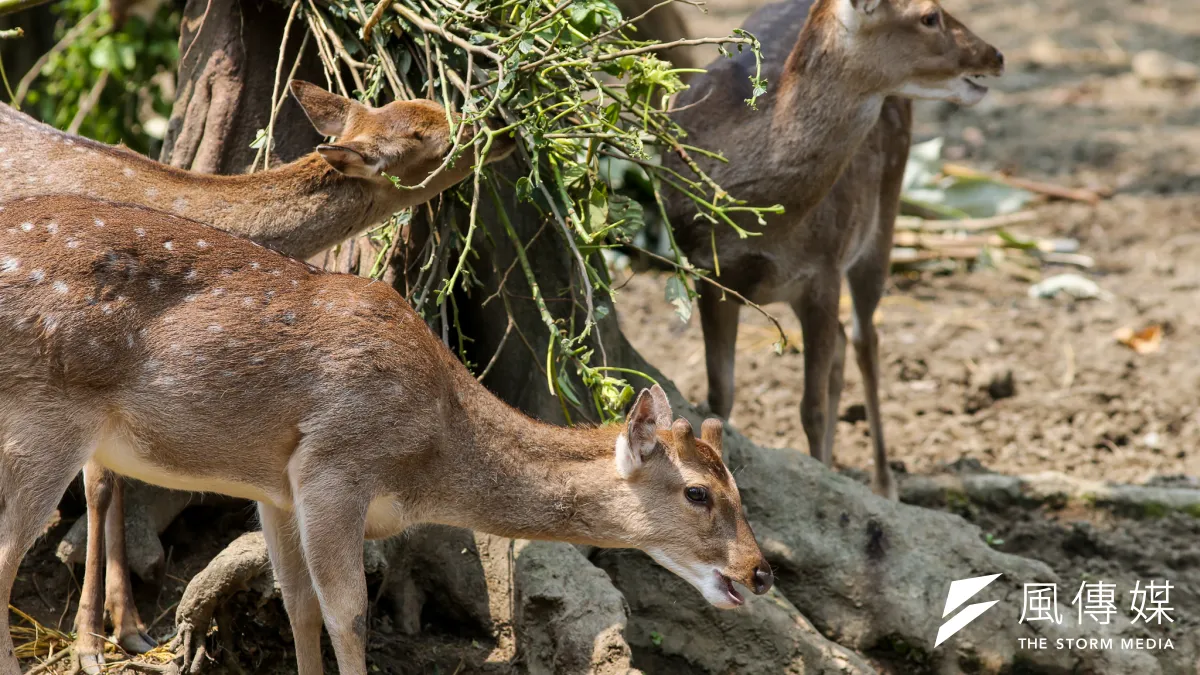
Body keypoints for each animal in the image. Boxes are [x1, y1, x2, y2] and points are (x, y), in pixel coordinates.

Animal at [0, 79, 515, 671]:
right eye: (431, 138)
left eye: (434, 107)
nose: (505, 128)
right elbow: (101, 486)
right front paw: (89, 644)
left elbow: (116, 479)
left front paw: (130, 628)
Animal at [0, 193, 773, 675]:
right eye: (698, 492)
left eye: (737, 485)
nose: (760, 571)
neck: (426, 464)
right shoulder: (334, 464)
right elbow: (348, 612)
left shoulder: (275, 488)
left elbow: (298, 605)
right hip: (47, 415)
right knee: (6, 551)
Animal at [664, 0, 1004, 499]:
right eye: (928, 16)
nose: (994, 55)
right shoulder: (709, 273)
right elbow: (719, 397)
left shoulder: (822, 269)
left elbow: (812, 406)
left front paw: (820, 482)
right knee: (846, 343)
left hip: (884, 208)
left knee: (865, 339)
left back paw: (882, 484)